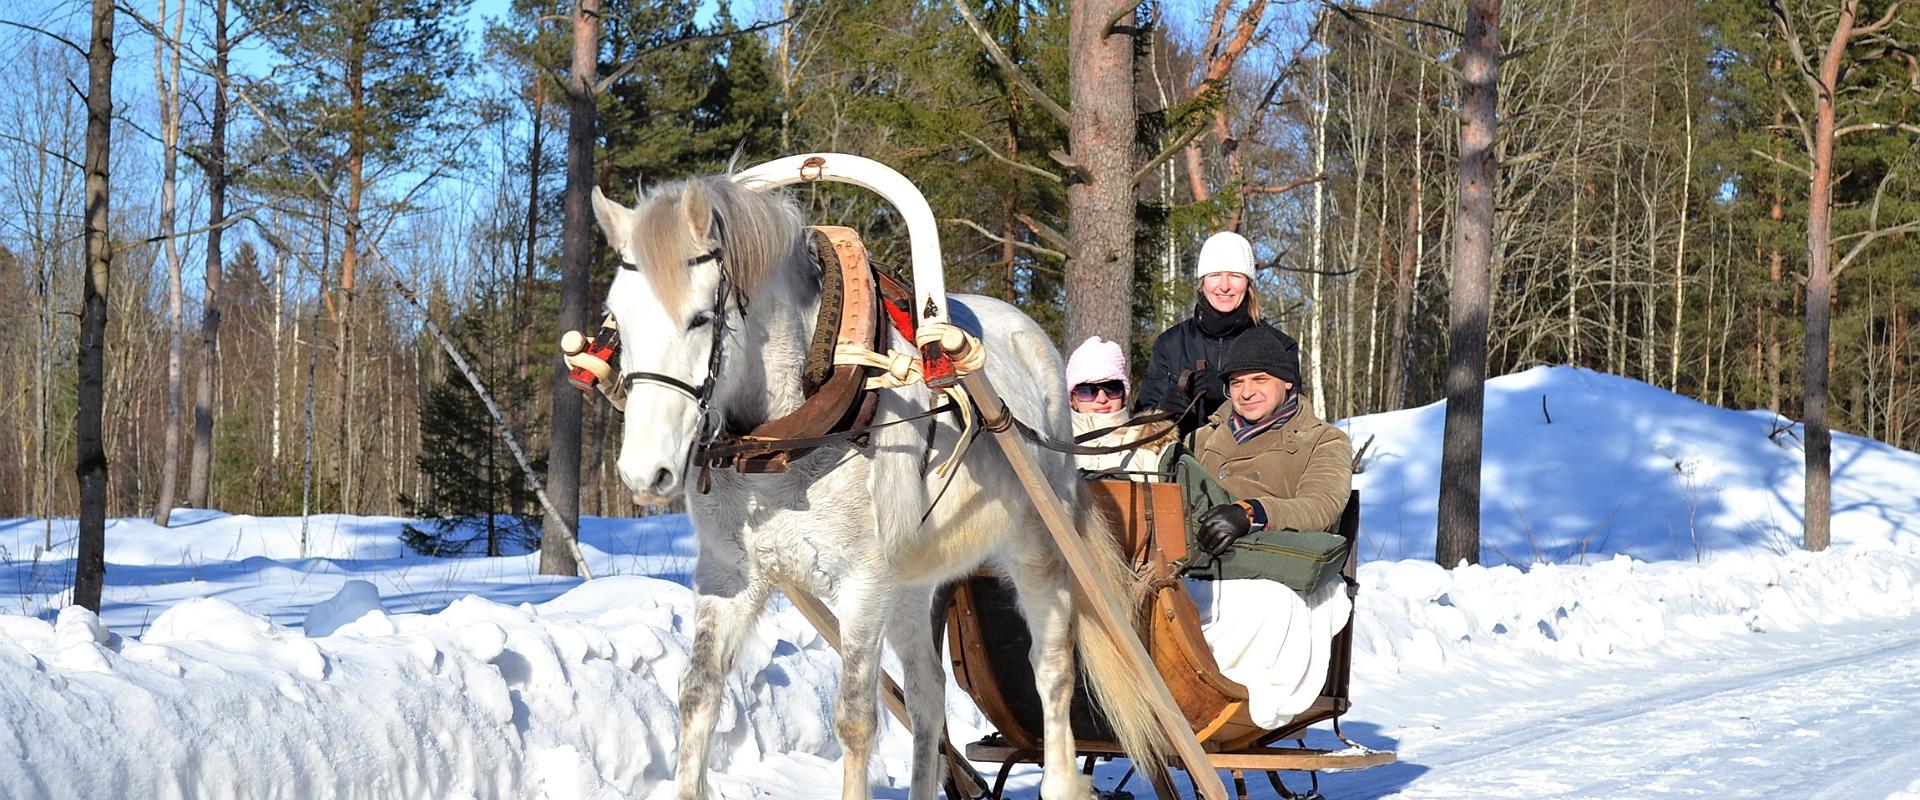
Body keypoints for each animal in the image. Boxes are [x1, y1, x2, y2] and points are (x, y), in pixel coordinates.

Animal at [591, 176, 1159, 798]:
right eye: (616, 319)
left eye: (698, 319)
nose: (643, 473)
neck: (785, 445)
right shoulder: (729, 575)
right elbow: (698, 694)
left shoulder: (862, 583)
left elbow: (856, 716)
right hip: (910, 582)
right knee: (928, 690)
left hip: (1037, 544)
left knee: (1052, 668)